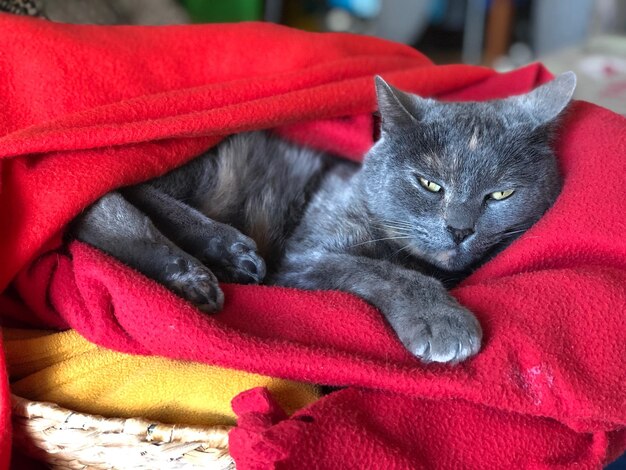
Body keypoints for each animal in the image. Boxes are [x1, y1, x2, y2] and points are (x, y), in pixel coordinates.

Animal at [73, 73, 576, 366]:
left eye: (501, 194)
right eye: (429, 184)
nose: (459, 228)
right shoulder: (306, 255)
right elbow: (383, 270)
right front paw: (443, 322)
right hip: (207, 166)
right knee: (108, 202)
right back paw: (214, 261)